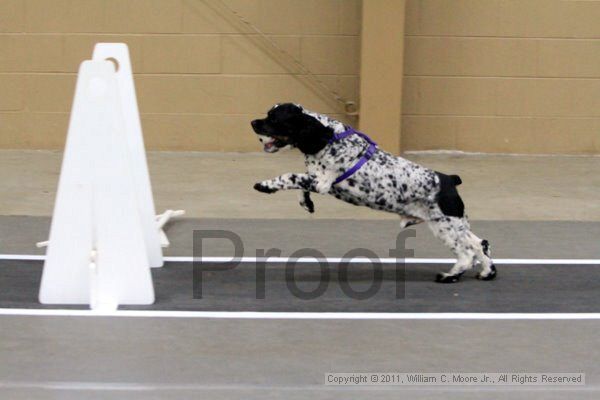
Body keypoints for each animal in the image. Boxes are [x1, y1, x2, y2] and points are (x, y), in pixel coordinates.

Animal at [250, 103, 496, 284]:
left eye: (274, 118)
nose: (252, 122)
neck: (328, 137)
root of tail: (450, 180)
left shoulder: (321, 182)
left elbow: (289, 176)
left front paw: (265, 185)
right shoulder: (315, 179)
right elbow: (300, 184)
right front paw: (306, 203)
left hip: (445, 227)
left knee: (466, 254)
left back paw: (449, 276)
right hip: (454, 224)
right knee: (480, 244)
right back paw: (487, 272)